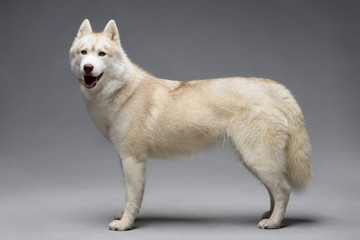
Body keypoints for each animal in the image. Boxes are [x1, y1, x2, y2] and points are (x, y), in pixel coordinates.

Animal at [69, 20, 310, 231]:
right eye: (83, 53)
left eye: (102, 54)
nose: (88, 68)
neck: (122, 91)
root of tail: (272, 88)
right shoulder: (128, 160)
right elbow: (135, 197)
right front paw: (128, 217)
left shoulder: (132, 160)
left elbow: (131, 197)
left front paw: (125, 224)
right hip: (253, 160)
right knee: (274, 191)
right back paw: (270, 215)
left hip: (257, 159)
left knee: (283, 190)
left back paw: (274, 223)